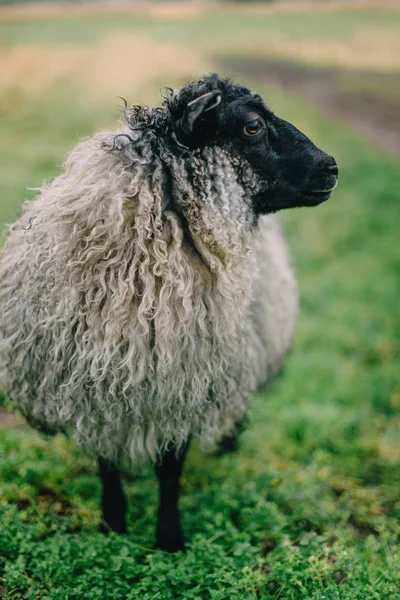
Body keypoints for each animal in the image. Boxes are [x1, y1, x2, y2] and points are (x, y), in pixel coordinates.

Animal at [0, 72, 338, 552]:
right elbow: (106, 462)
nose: (332, 168)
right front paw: (114, 523)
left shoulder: (182, 385)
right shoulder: (91, 384)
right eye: (252, 125)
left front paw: (169, 538)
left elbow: (170, 469)